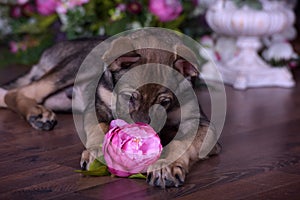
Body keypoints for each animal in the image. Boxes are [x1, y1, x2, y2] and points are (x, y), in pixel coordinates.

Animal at [0, 28, 220, 188]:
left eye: (165, 102)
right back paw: (37, 113)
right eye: (128, 97)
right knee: (18, 92)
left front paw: (166, 167)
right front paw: (97, 152)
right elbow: (101, 127)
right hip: (76, 67)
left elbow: (182, 142)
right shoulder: (97, 106)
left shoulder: (201, 122)